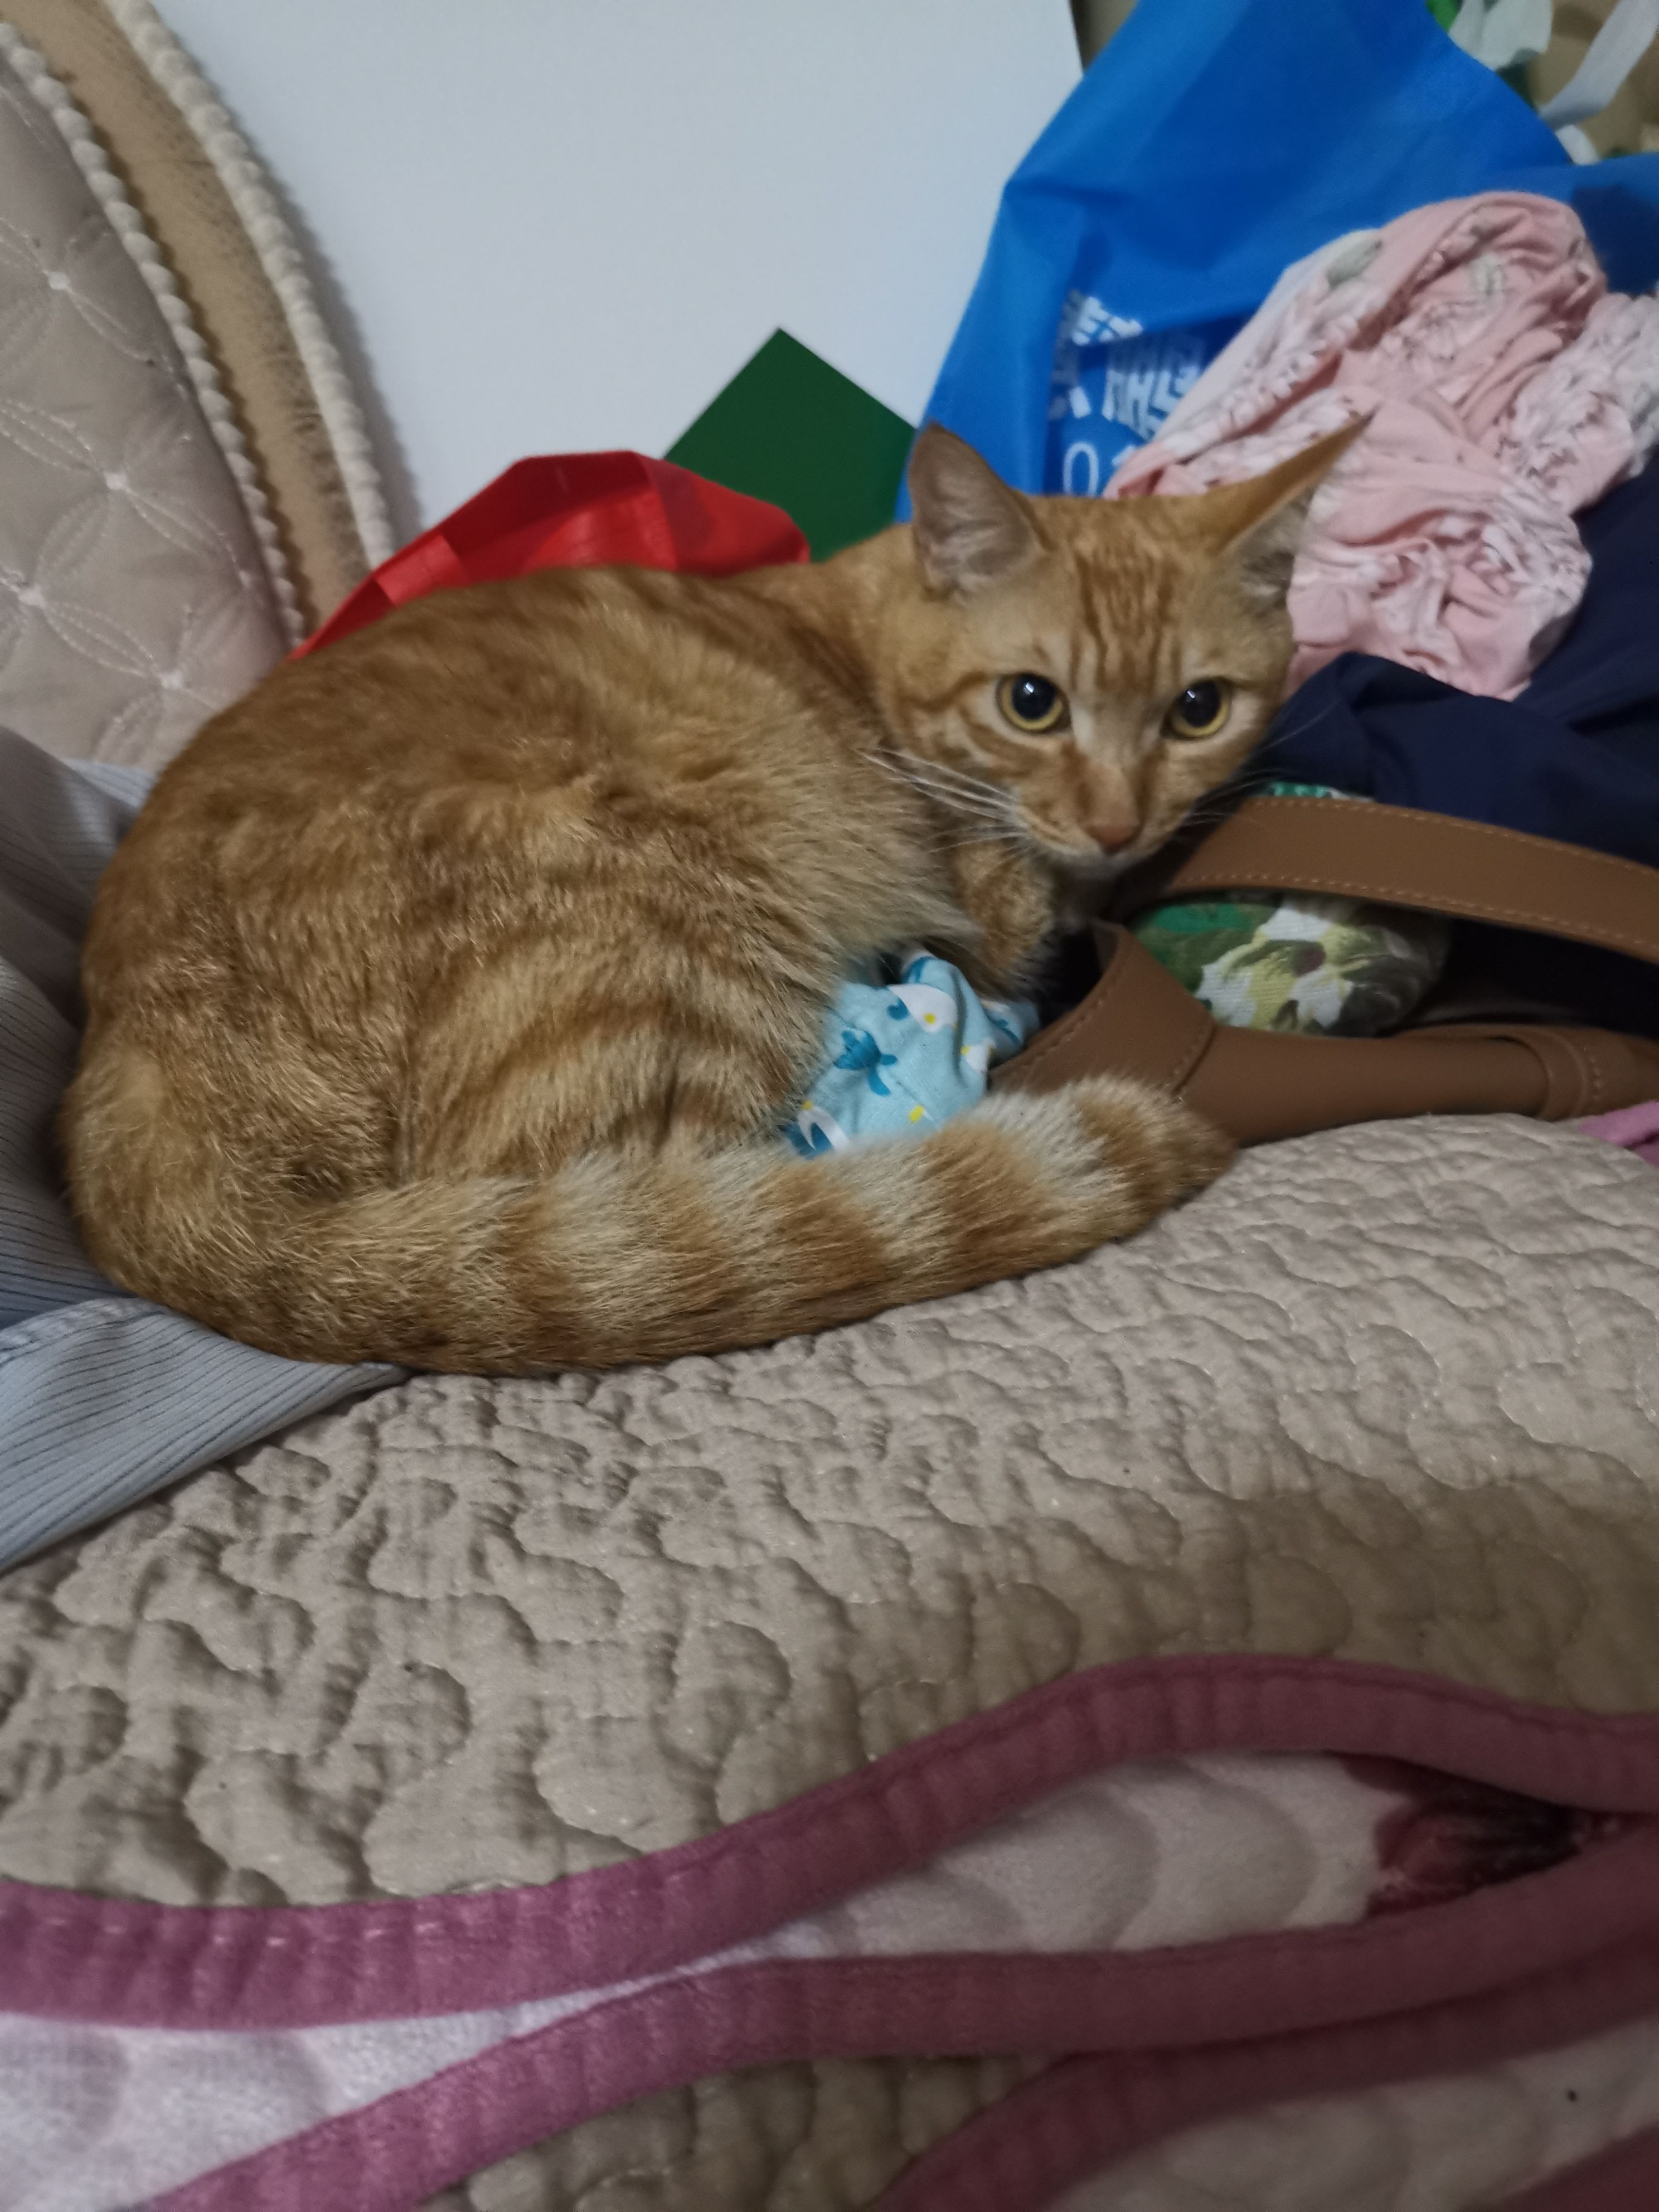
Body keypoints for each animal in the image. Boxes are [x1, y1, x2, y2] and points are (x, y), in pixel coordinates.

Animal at [62, 421, 1355, 1373]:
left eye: (1198, 709)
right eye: (1032, 702)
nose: (1118, 823)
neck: (865, 652)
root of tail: (143, 1091)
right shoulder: (996, 902)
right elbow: (1022, 911)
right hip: (680, 916)